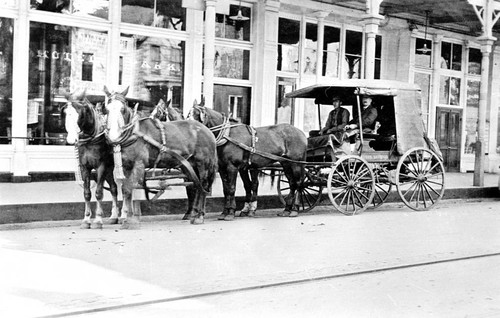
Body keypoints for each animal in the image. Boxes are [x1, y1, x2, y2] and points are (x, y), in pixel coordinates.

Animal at [62, 89, 122, 229]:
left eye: (81, 113)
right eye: (66, 112)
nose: (71, 139)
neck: (91, 138)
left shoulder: (101, 166)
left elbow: (99, 192)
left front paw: (98, 220)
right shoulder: (85, 167)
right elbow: (87, 193)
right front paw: (86, 220)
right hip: (109, 169)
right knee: (114, 188)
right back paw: (114, 217)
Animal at [103, 86, 217, 226]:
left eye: (123, 109)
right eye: (106, 109)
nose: (113, 135)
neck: (134, 133)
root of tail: (208, 131)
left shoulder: (139, 164)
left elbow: (130, 188)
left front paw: (130, 218)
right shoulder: (126, 166)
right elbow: (125, 189)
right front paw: (126, 216)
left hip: (203, 164)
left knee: (204, 185)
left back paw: (199, 216)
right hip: (189, 165)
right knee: (196, 185)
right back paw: (194, 213)